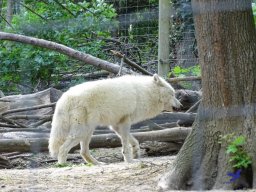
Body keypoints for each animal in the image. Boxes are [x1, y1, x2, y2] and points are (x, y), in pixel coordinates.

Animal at [48, 74, 180, 164]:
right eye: (173, 94)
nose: (180, 106)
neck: (144, 93)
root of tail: (64, 97)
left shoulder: (116, 125)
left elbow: (134, 140)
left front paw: (136, 151)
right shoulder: (125, 122)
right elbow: (125, 144)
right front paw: (129, 160)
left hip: (88, 131)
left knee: (83, 152)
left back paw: (98, 164)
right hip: (81, 132)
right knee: (62, 149)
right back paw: (63, 165)